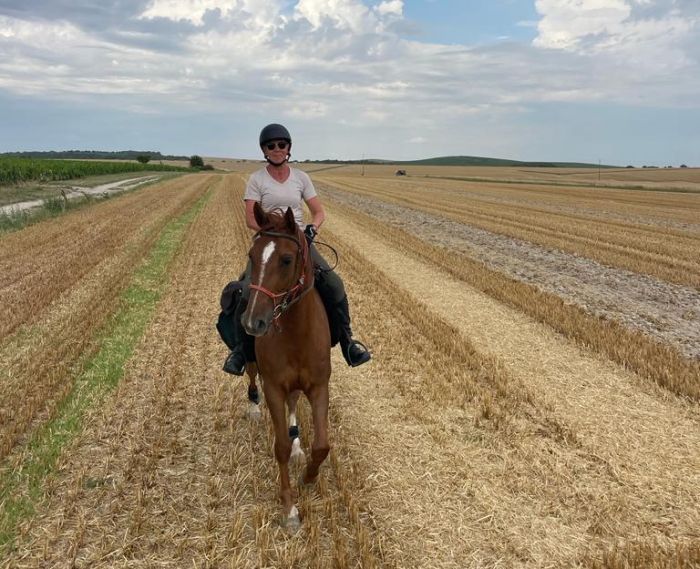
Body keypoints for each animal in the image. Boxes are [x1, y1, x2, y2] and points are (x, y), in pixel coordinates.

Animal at [242, 202, 332, 532]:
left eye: (286, 259)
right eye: (252, 255)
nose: (253, 322)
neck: (296, 332)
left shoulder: (319, 386)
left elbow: (322, 445)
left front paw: (309, 476)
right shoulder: (273, 388)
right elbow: (278, 446)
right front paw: (290, 508)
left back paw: (297, 446)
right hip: (253, 365)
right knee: (250, 377)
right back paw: (253, 408)